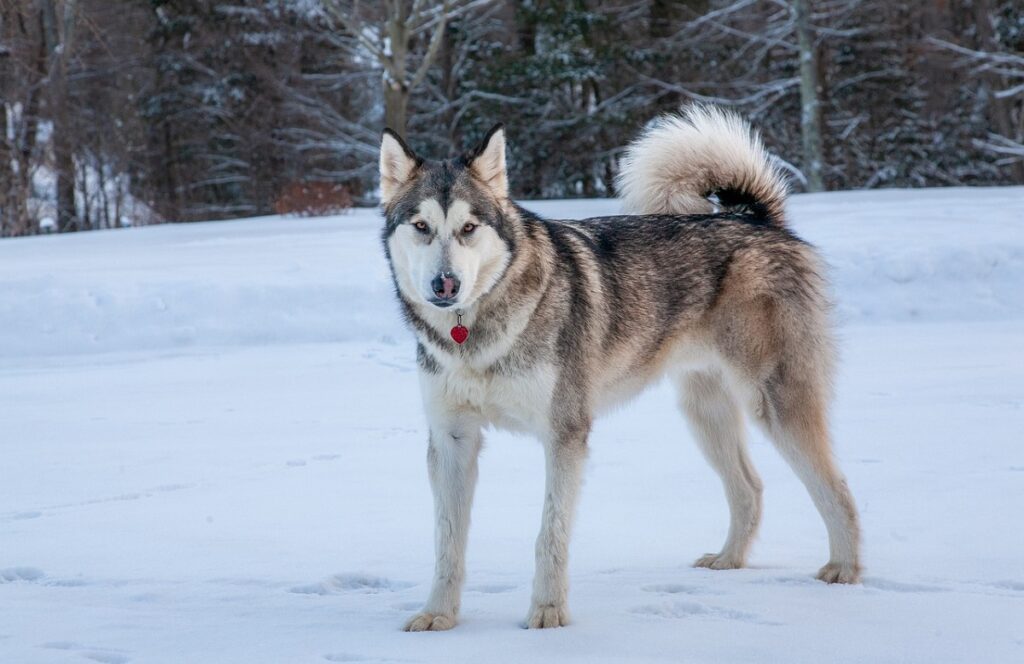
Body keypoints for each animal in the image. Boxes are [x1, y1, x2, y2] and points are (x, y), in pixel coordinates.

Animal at [380, 106, 860, 631]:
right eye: (421, 226)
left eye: (469, 228)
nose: (445, 284)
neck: (474, 334)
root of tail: (755, 220)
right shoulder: (451, 439)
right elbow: (447, 543)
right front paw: (438, 615)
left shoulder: (565, 434)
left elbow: (549, 535)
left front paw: (548, 613)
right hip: (704, 413)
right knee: (750, 488)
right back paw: (728, 561)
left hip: (774, 404)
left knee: (837, 489)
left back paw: (845, 570)